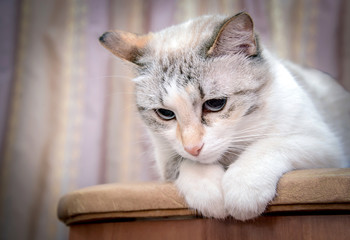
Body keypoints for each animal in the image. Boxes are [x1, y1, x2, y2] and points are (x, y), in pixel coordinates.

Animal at [98, 12, 350, 220]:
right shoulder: (166, 156)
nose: (193, 147)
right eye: (166, 113)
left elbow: (271, 144)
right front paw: (212, 195)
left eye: (215, 104)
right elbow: (185, 162)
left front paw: (243, 188)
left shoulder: (326, 146)